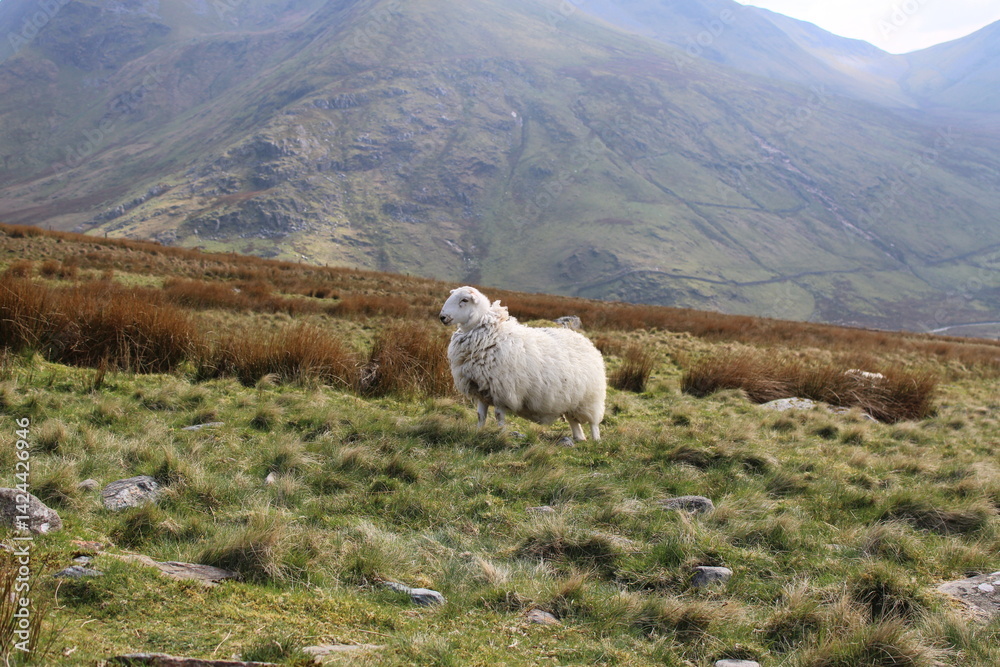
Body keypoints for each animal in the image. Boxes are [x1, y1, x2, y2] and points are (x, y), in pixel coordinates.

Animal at [438, 286, 606, 441]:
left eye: (464, 300)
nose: (442, 317)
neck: (491, 334)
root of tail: (585, 340)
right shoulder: (481, 390)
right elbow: (480, 415)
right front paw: (478, 432)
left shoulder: (502, 390)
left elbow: (499, 416)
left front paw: (501, 434)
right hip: (571, 399)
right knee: (574, 421)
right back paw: (579, 438)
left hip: (590, 398)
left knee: (594, 423)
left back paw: (596, 441)